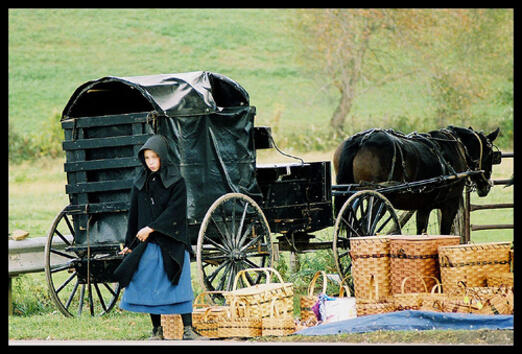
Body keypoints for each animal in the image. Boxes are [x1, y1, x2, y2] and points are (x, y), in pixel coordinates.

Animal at [332, 126, 498, 236]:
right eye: (490, 154)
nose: (487, 186)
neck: (456, 147)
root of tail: (361, 140)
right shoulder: (449, 205)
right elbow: (445, 233)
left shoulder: (424, 208)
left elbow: (421, 233)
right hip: (377, 199)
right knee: (361, 229)